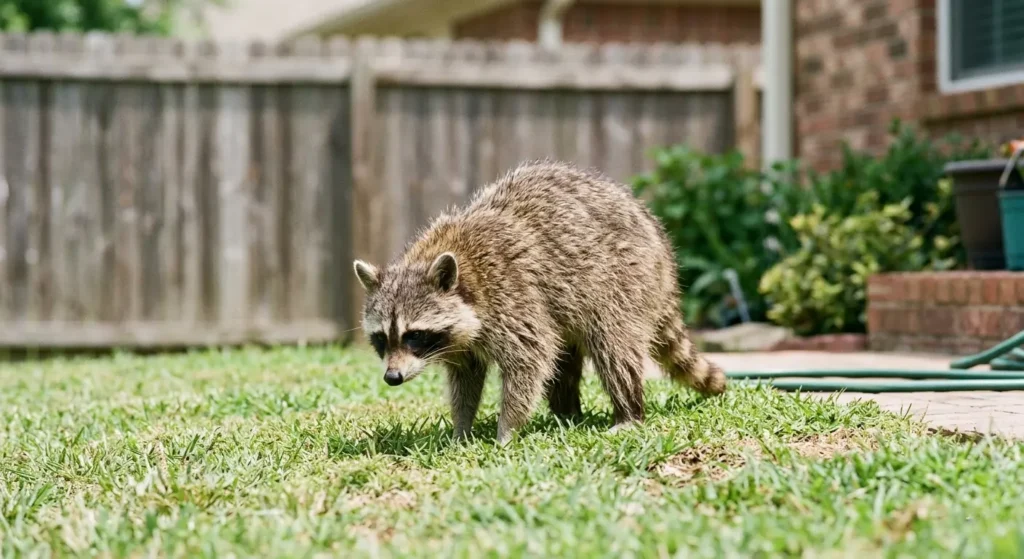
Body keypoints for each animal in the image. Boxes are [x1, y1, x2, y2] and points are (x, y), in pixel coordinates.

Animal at [353, 160, 726, 445]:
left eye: (414, 335)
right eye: (382, 338)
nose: (392, 377)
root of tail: (662, 250)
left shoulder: (513, 296)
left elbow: (529, 361)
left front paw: (506, 430)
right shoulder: (463, 339)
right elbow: (466, 378)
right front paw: (461, 429)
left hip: (624, 281)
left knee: (613, 347)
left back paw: (628, 412)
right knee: (565, 360)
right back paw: (567, 413)